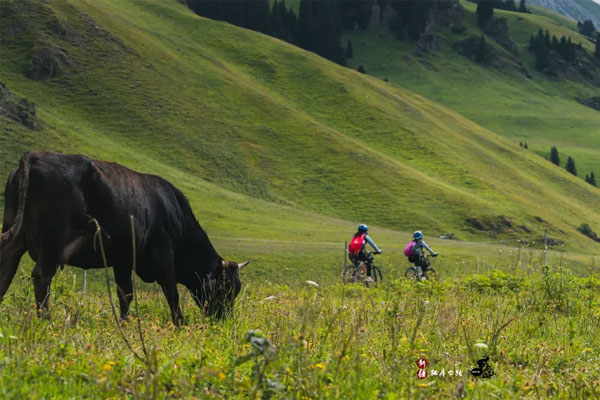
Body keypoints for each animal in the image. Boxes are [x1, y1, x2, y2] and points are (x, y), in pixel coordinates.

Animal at [0, 152, 248, 324]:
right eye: (225, 288)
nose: (223, 320)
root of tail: (36, 156)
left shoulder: (123, 260)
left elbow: (125, 294)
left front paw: (125, 322)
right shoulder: (164, 254)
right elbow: (171, 292)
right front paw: (180, 323)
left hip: (15, 236)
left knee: (6, 269)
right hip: (53, 241)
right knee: (42, 276)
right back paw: (47, 322)